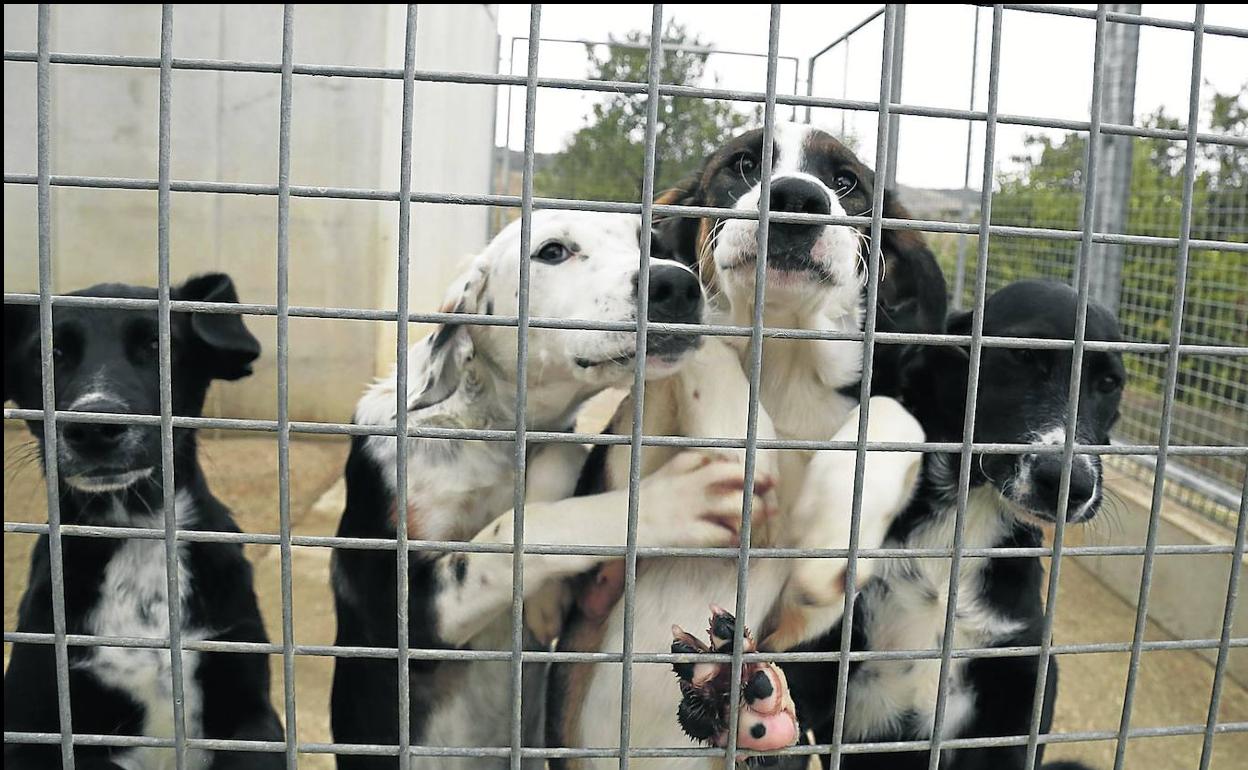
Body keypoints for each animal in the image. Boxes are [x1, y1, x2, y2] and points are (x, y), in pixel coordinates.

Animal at [331, 209, 778, 768]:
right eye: (551, 252)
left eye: (650, 243)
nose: (677, 285)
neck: (489, 430)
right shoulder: (403, 613)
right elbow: (505, 537)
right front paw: (679, 502)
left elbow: (556, 461)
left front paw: (544, 599)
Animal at [546, 122, 943, 763]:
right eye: (745, 166)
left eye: (846, 183)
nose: (798, 199)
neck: (783, 363)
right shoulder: (629, 458)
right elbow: (702, 338)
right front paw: (740, 439)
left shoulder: (798, 624)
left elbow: (893, 415)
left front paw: (832, 532)